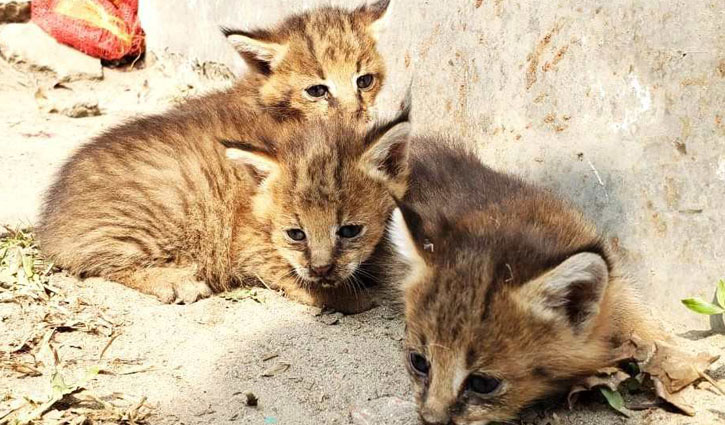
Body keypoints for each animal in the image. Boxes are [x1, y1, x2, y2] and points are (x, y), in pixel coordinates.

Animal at [36, 103, 410, 314]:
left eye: (350, 230)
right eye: (296, 234)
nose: (321, 268)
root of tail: (50, 217)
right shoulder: (245, 245)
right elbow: (288, 273)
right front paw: (344, 297)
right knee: (101, 263)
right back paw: (177, 281)